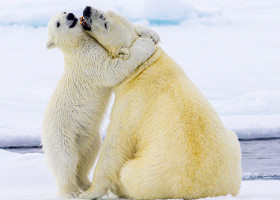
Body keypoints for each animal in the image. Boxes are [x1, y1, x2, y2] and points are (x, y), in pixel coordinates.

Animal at [42, 12, 159, 198]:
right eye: (58, 24)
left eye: (64, 12)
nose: (70, 15)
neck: (77, 46)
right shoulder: (88, 62)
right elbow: (112, 69)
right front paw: (146, 44)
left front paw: (151, 33)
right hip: (61, 135)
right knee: (65, 162)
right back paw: (70, 192)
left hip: (87, 137)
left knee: (87, 156)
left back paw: (86, 183)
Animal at [80, 7, 242, 199]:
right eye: (106, 10)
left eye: (105, 23)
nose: (87, 9)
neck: (143, 67)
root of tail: (208, 190)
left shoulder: (131, 104)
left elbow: (115, 144)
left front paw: (88, 192)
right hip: (232, 149)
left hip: (149, 174)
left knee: (128, 174)